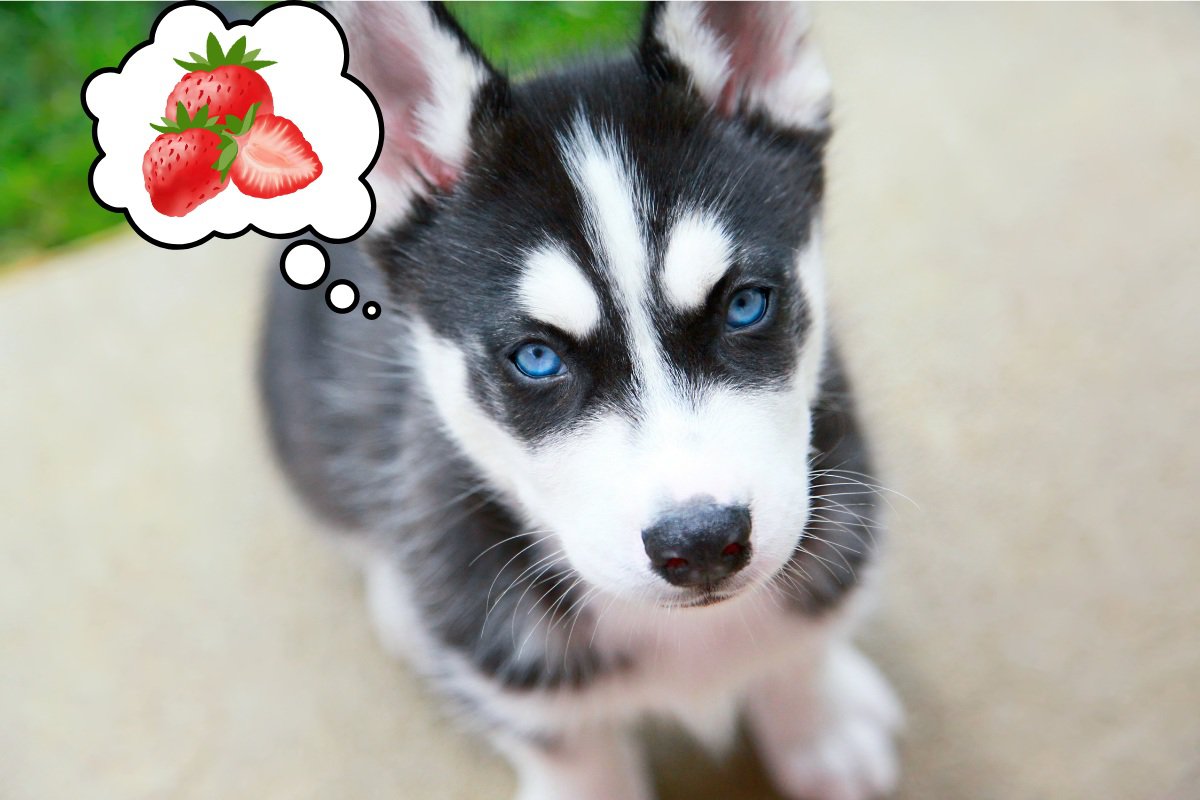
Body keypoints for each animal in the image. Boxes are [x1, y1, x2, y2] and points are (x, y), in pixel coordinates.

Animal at [260, 3, 901, 798]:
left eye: (746, 305)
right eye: (537, 357)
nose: (701, 543)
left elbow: (796, 654)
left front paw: (819, 725)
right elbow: (571, 749)